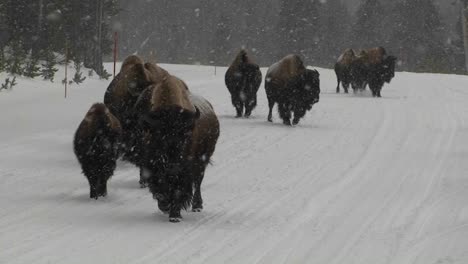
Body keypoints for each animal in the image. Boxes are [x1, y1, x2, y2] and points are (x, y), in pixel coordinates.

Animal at [137, 75, 221, 223]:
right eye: (159, 136)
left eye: (184, 136)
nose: (173, 166)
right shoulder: (153, 166)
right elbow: (159, 187)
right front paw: (165, 206)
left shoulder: (184, 170)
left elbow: (179, 190)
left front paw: (174, 215)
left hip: (203, 160)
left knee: (198, 181)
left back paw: (197, 206)